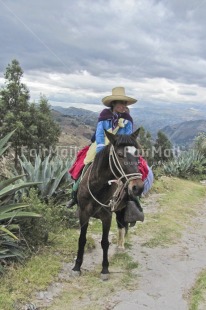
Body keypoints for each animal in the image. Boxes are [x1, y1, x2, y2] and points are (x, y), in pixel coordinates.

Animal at [73, 127, 144, 280]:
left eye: (138, 154)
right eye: (120, 154)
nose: (138, 187)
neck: (97, 187)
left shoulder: (107, 216)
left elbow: (104, 242)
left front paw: (105, 269)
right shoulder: (83, 214)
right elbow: (82, 239)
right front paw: (77, 266)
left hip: (121, 209)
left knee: (121, 226)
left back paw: (121, 246)